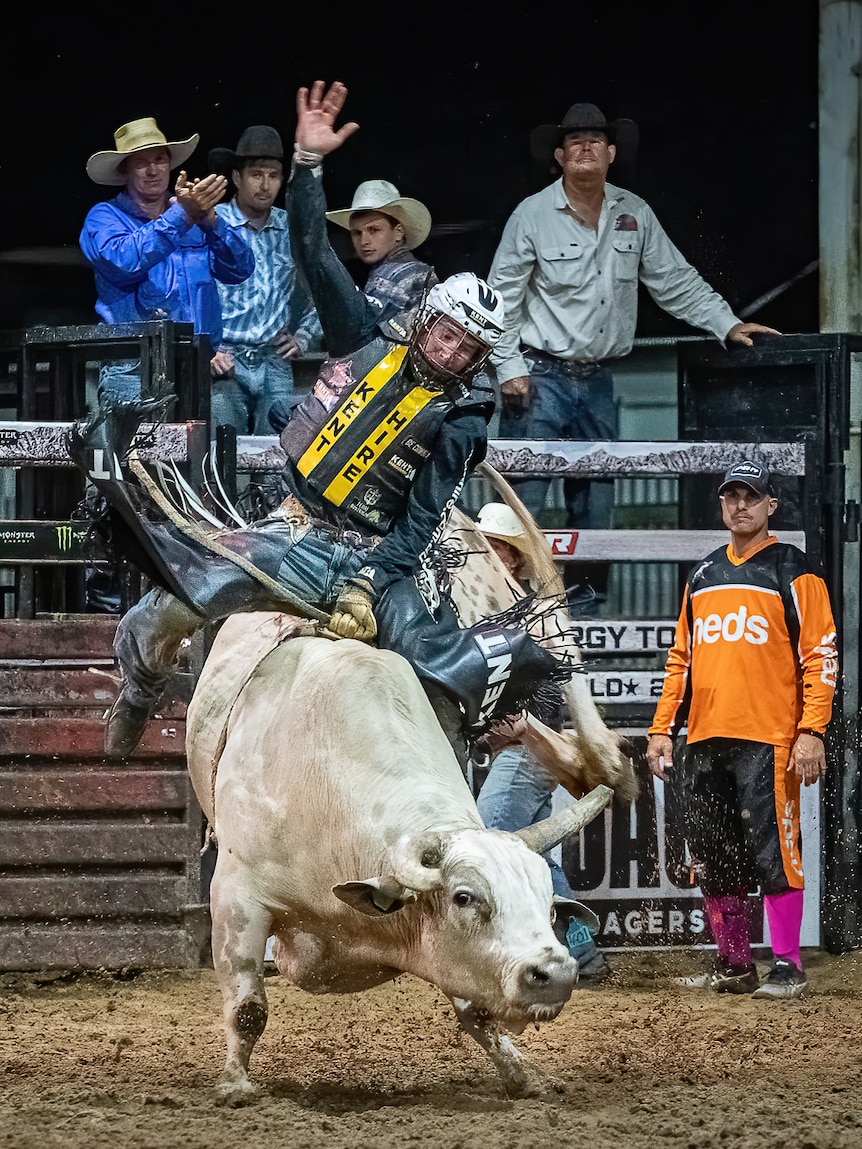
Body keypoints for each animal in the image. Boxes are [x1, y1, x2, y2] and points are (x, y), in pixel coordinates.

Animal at [186, 464, 639, 1103]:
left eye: (547, 902)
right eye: (465, 897)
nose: (553, 973)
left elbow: (478, 1011)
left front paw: (523, 1074)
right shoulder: (235, 896)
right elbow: (248, 1008)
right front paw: (234, 1085)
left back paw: (595, 762)